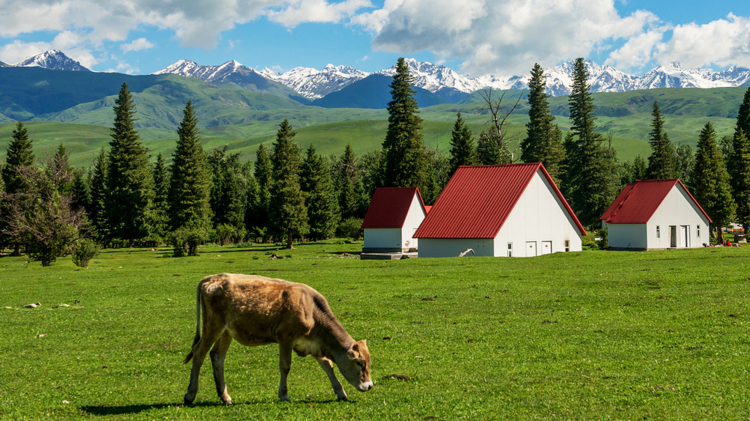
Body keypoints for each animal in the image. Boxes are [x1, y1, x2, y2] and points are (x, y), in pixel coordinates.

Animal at [185, 272, 374, 404]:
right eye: (359, 363)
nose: (369, 385)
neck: (312, 311)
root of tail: (212, 278)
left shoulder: (313, 344)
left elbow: (328, 365)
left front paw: (340, 392)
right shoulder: (286, 338)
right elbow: (285, 366)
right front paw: (284, 395)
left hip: (226, 331)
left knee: (217, 357)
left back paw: (225, 397)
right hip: (212, 325)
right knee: (199, 353)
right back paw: (190, 394)